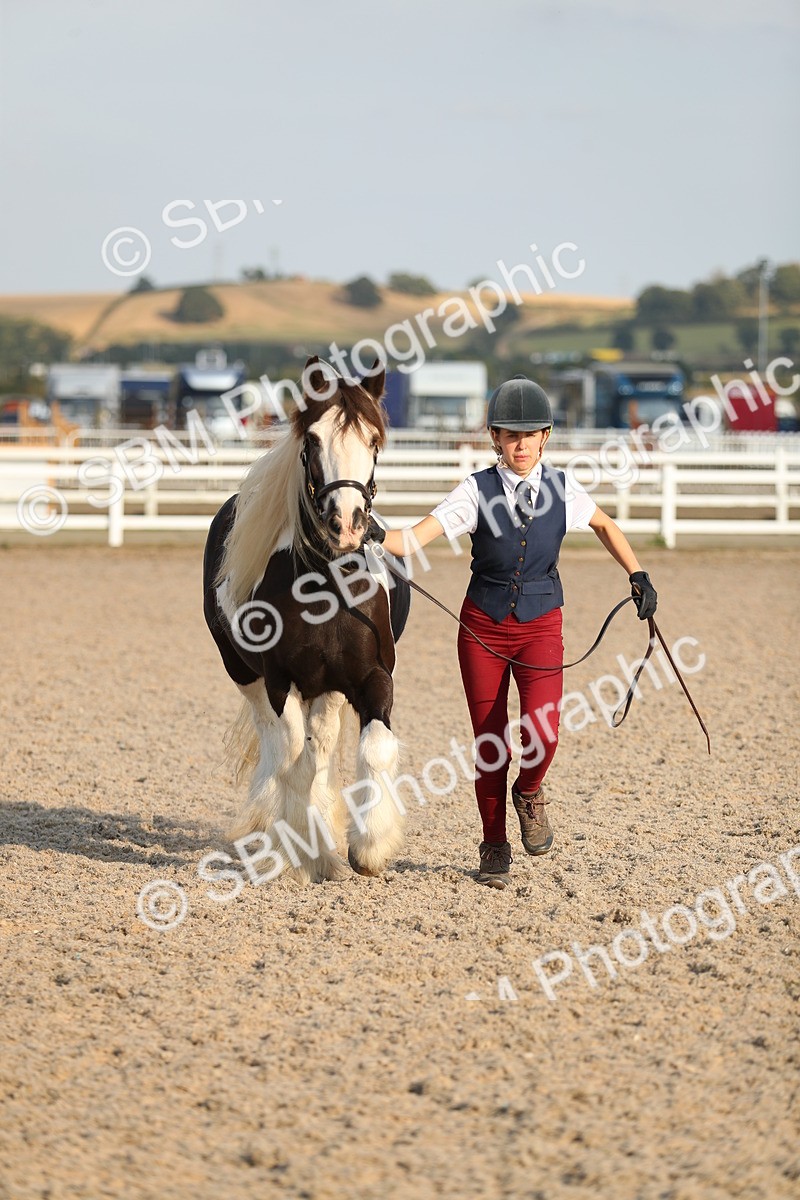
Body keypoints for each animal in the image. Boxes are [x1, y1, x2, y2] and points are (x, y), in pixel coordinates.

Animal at [202, 357, 410, 884]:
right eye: (313, 440)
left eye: (373, 441)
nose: (347, 524)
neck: (328, 588)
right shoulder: (280, 680)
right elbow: (293, 760)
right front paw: (303, 853)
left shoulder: (374, 676)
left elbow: (373, 748)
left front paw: (370, 848)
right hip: (246, 674)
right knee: (280, 747)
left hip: (328, 688)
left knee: (320, 746)